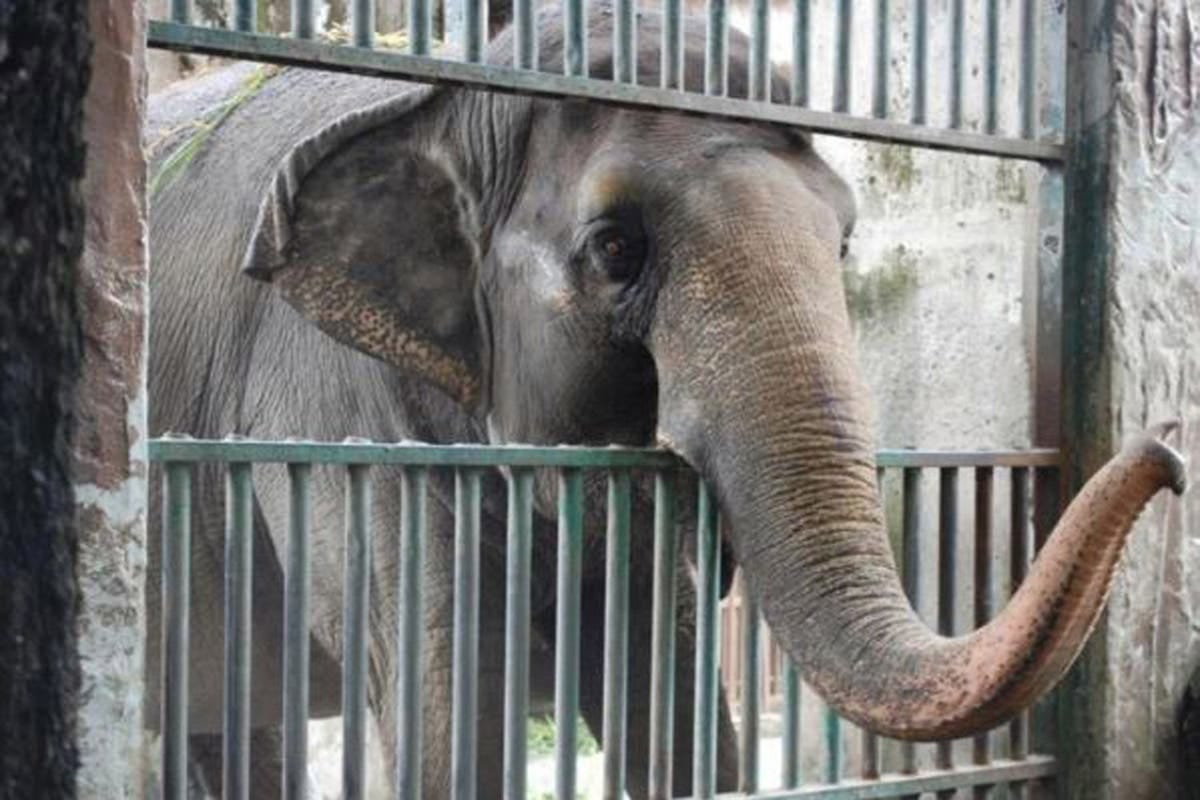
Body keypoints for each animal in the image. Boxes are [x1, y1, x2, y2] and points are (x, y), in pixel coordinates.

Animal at [147, 4, 1187, 798]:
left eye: (845, 242)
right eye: (615, 248)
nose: (1170, 450)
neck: (450, 95)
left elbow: (674, 704)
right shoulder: (333, 421)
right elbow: (457, 715)